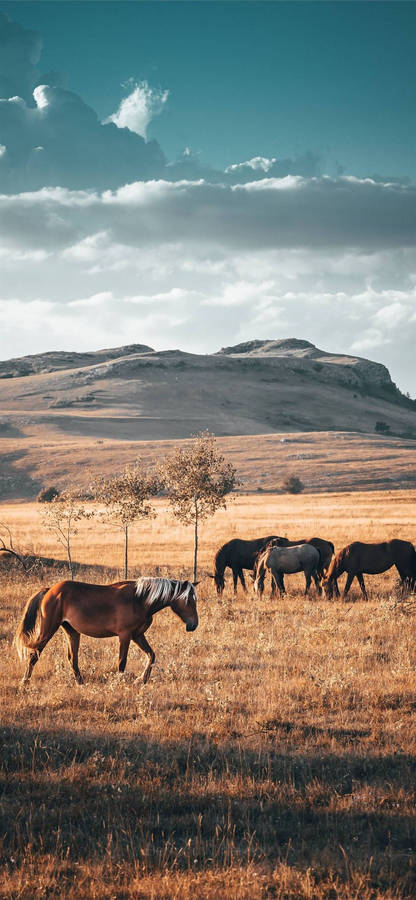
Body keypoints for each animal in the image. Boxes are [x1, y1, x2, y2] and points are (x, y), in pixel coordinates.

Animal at [15, 576, 199, 685]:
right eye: (188, 600)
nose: (193, 625)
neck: (139, 600)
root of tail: (49, 589)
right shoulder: (125, 635)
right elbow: (122, 662)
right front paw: (120, 683)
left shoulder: (137, 635)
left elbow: (151, 655)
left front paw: (142, 680)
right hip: (47, 630)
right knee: (34, 655)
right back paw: (25, 682)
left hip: (72, 631)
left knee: (72, 659)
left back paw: (80, 683)